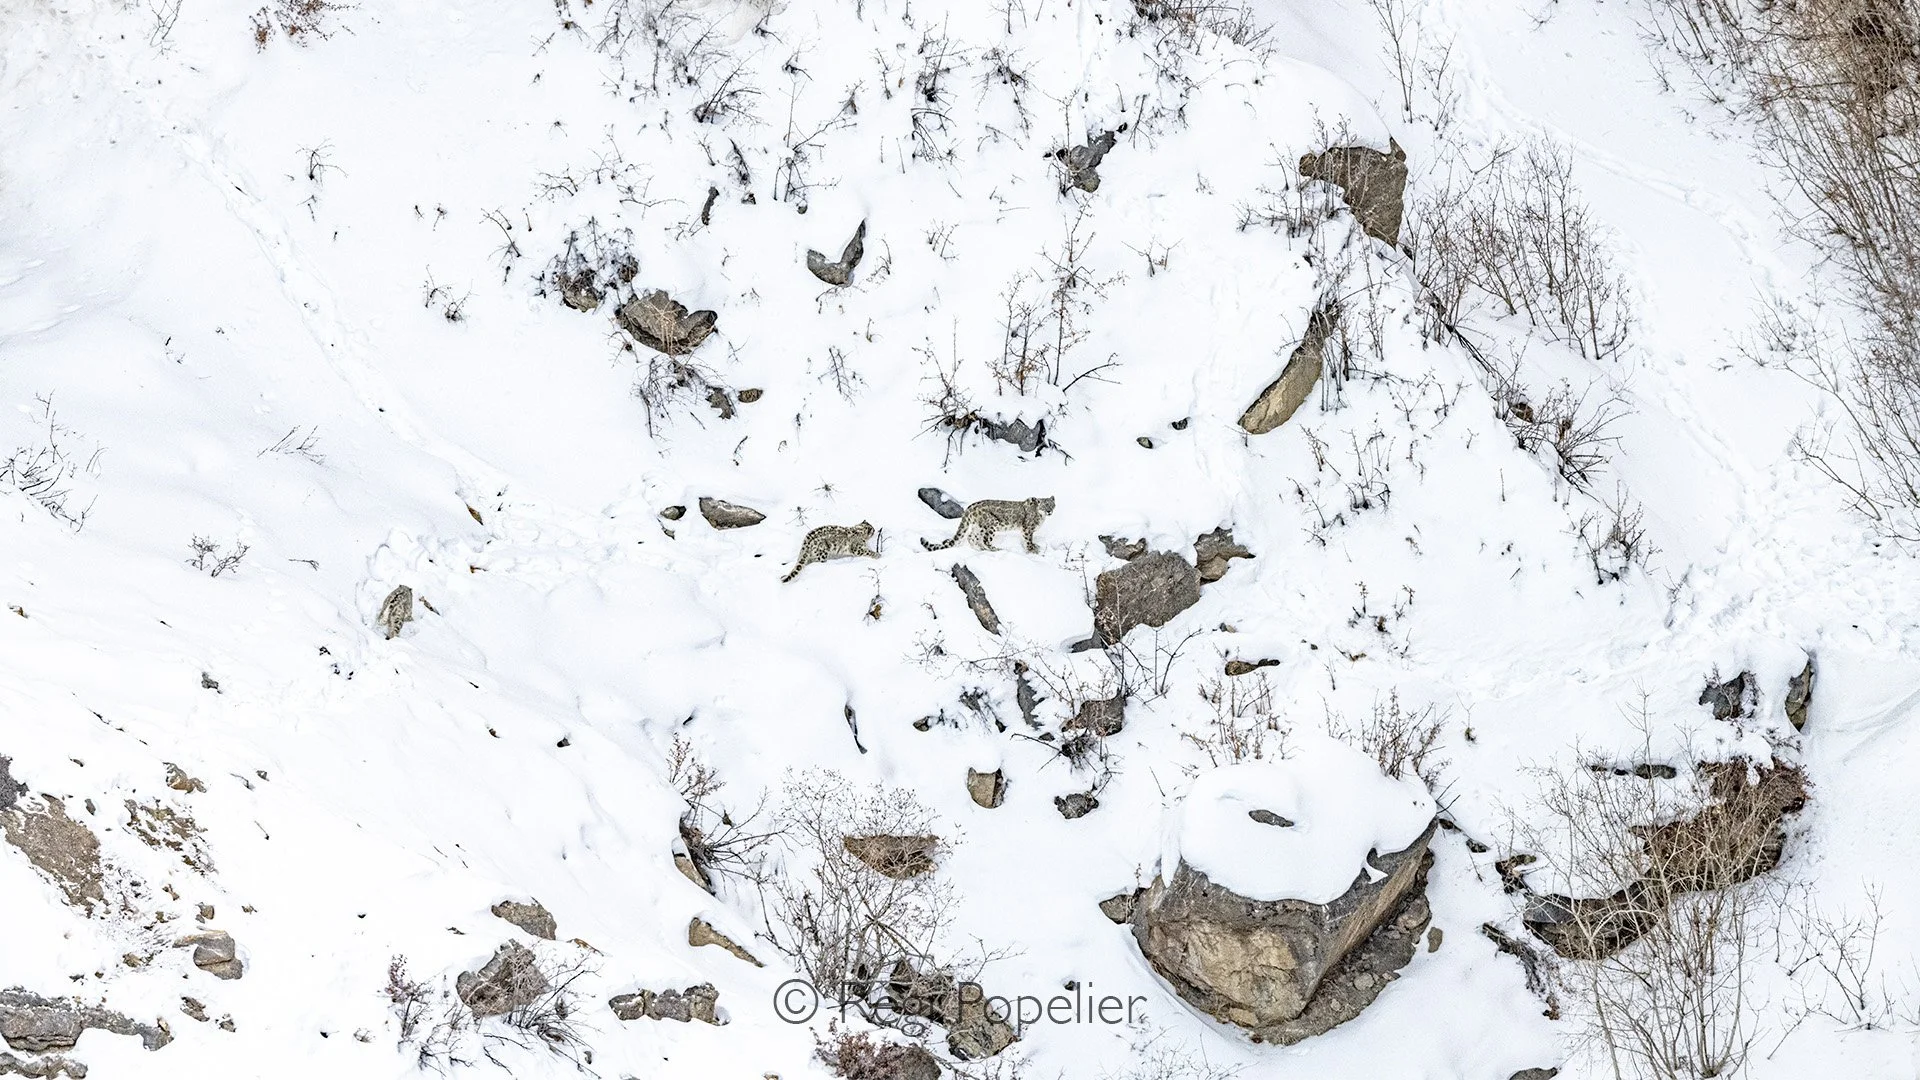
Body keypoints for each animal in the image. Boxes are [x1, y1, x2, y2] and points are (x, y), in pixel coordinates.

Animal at [920, 497, 1056, 554]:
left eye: (1052, 504)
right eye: (1045, 505)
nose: (1050, 511)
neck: (1042, 518)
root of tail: (970, 507)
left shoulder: (1025, 531)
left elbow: (1026, 540)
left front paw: (1034, 547)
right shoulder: (1028, 529)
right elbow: (1028, 540)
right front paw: (1032, 550)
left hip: (978, 527)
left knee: (971, 537)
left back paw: (978, 549)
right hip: (991, 525)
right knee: (985, 540)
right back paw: (995, 549)